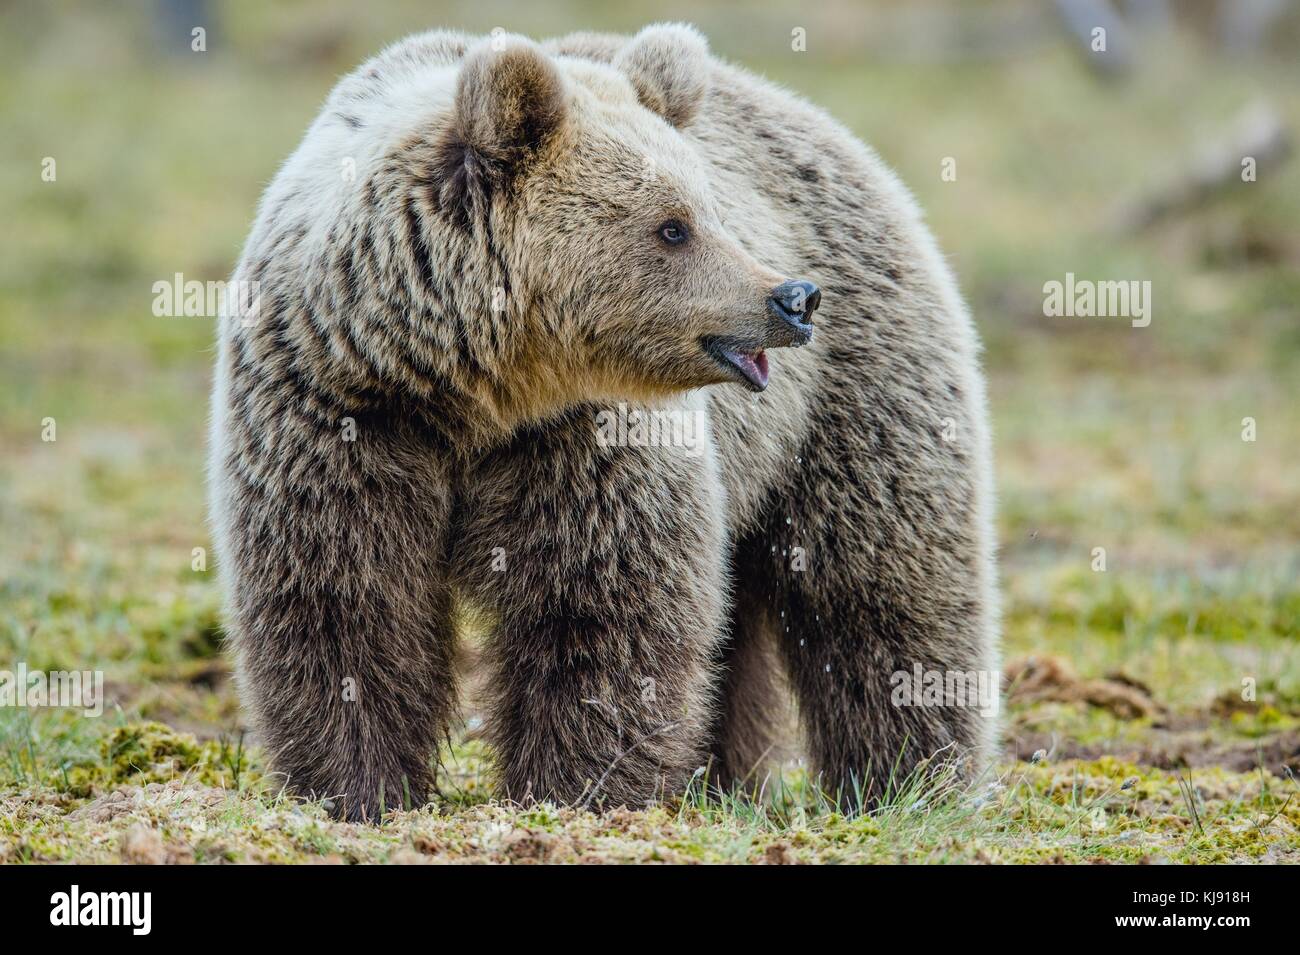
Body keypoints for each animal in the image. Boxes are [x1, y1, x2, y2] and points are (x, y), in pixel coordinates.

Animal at [208, 23, 1000, 821]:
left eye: (711, 210)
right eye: (673, 227)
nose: (793, 297)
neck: (471, 387)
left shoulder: (587, 434)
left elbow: (597, 603)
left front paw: (575, 789)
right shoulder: (339, 411)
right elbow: (342, 600)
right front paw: (355, 789)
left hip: (849, 398)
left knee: (883, 585)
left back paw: (910, 779)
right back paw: (727, 779)